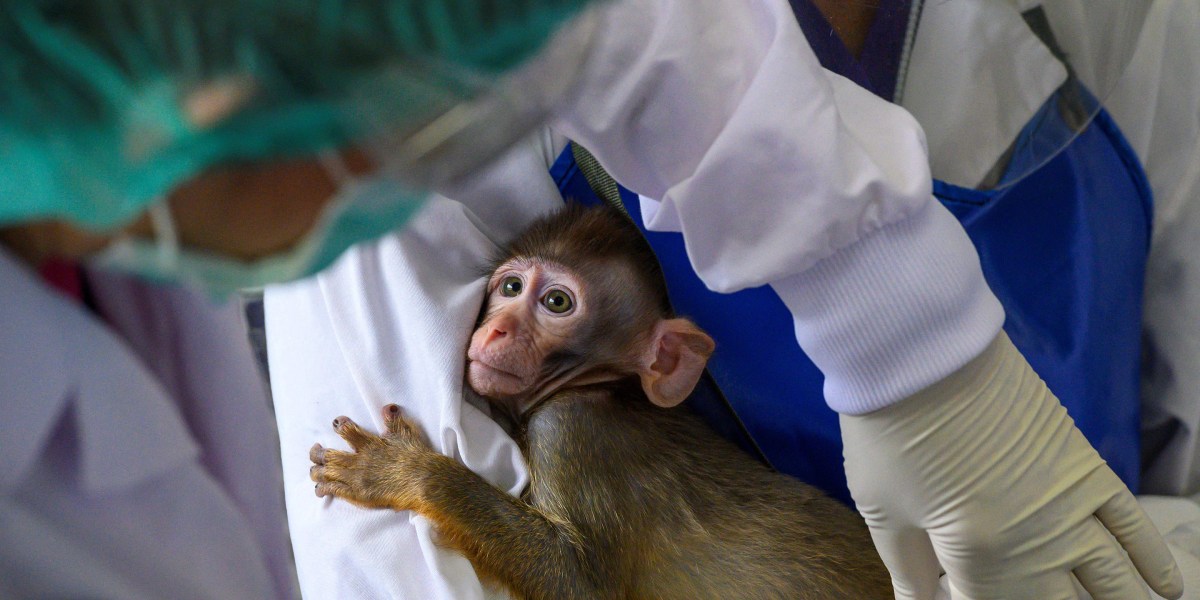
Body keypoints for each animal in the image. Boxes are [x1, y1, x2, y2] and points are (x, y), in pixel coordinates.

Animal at [309, 203, 894, 599]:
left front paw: (403, 472)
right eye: (511, 287)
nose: (495, 330)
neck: (601, 387)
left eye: (556, 302)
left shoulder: (571, 431)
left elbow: (579, 584)